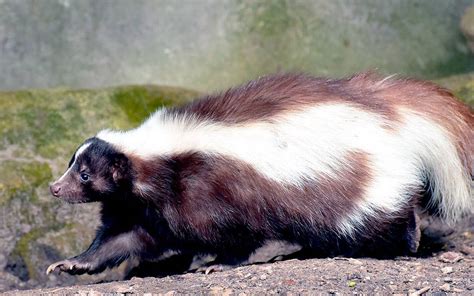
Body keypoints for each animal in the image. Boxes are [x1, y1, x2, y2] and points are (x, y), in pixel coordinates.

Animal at [46, 73, 472, 276]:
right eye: (72, 164)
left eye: (84, 175)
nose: (54, 188)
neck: (155, 159)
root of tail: (386, 110)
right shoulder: (137, 204)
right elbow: (122, 239)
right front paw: (73, 264)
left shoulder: (213, 187)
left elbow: (238, 234)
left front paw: (217, 263)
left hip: (353, 178)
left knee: (372, 215)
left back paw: (409, 239)